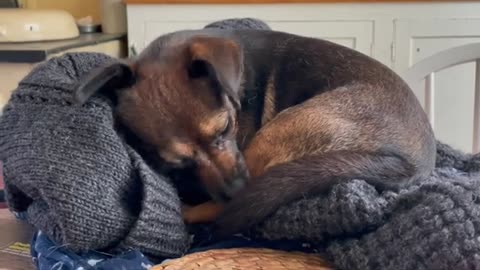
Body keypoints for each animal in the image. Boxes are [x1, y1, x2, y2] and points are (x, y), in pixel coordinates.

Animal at [74, 28, 436, 236]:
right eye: (177, 162)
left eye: (225, 127)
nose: (237, 190)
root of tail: (412, 165)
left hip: (281, 130)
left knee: (218, 211)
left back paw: (188, 211)